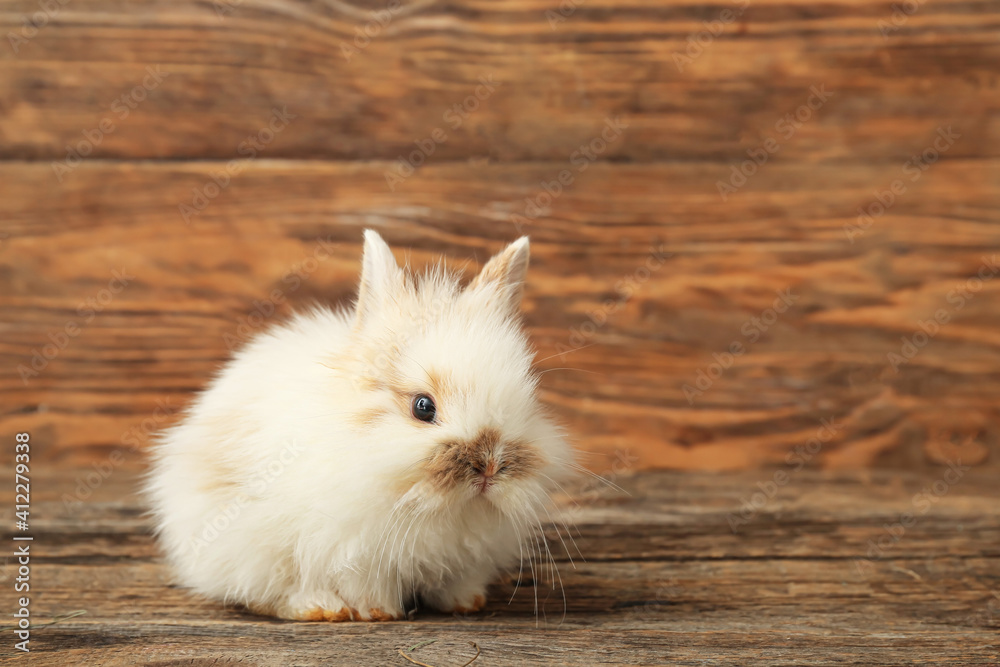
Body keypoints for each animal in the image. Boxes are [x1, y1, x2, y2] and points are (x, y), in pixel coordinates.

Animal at [144, 232, 576, 624]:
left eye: (527, 399)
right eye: (423, 407)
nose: (489, 465)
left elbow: (455, 583)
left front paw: (466, 604)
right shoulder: (354, 551)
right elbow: (364, 585)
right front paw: (379, 612)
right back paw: (319, 608)